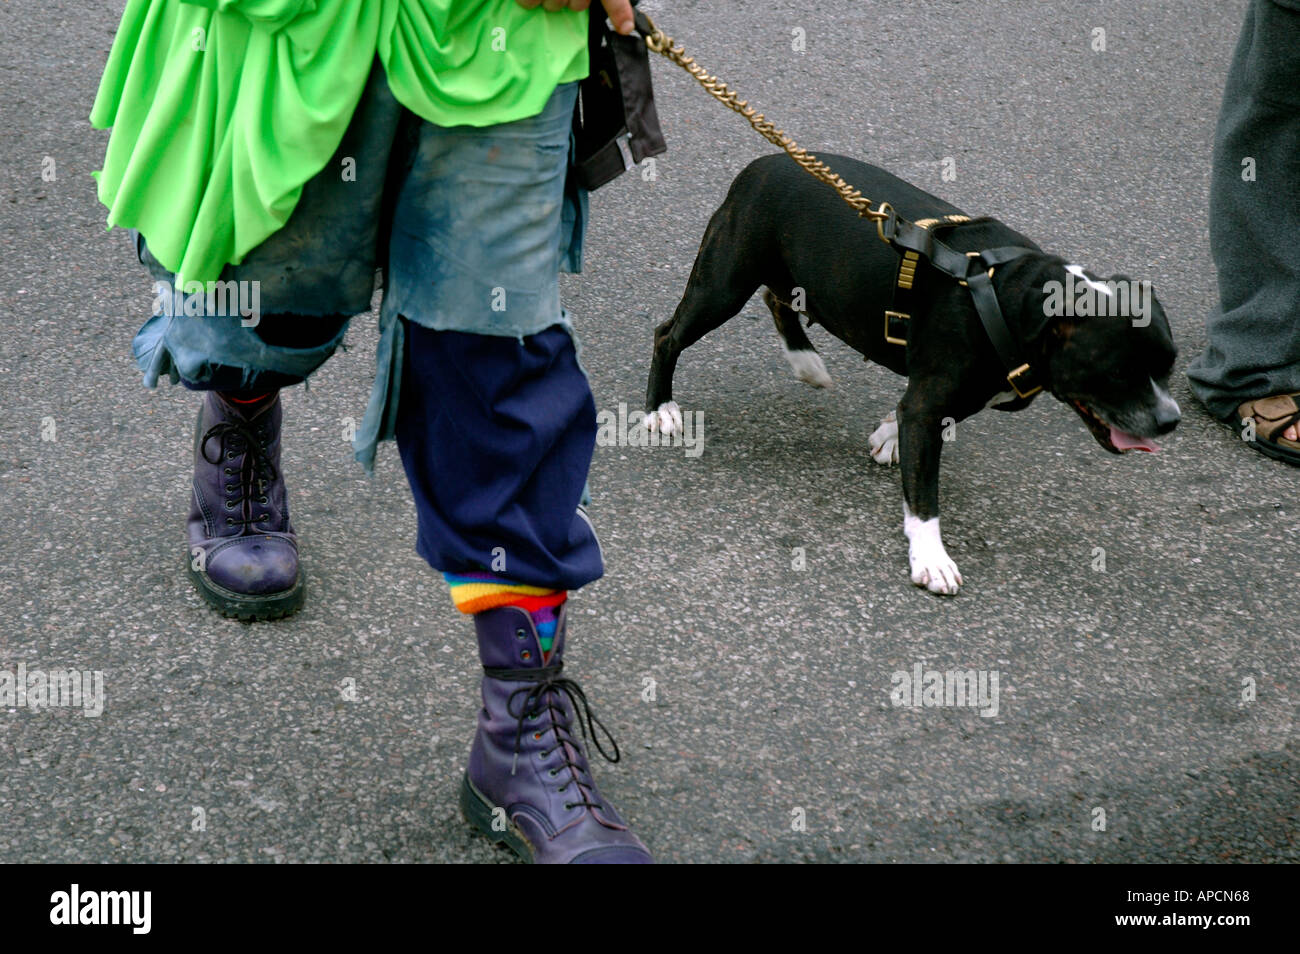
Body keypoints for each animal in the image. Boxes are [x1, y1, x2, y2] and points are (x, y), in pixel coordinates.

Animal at [642, 153, 1180, 595]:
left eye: (1171, 364)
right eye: (1117, 372)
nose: (1170, 419)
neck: (1011, 298)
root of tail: (760, 164)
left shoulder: (943, 396)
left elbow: (923, 419)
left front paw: (887, 436)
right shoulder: (932, 400)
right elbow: (925, 497)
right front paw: (932, 559)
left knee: (779, 299)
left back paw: (805, 361)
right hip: (723, 283)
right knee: (667, 335)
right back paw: (659, 409)